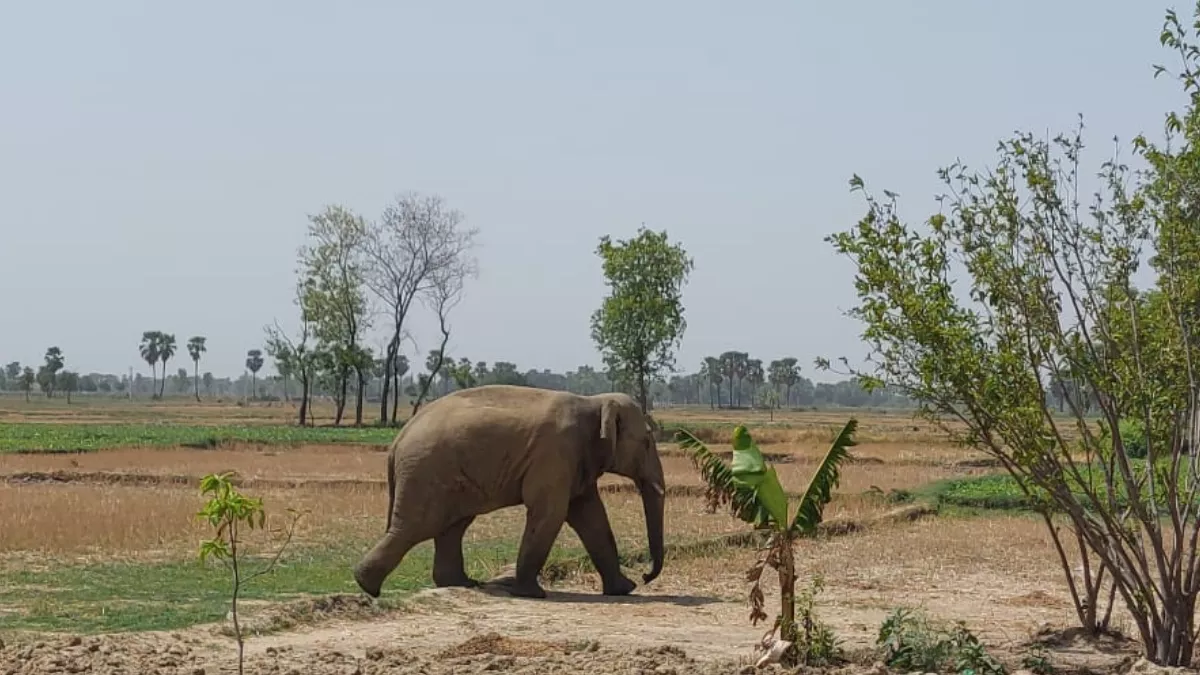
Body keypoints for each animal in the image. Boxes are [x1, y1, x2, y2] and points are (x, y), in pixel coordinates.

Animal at [350, 381, 667, 595]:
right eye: (647, 442)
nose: (645, 576)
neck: (594, 402)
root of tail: (397, 440)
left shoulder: (577, 462)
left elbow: (591, 518)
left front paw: (624, 589)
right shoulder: (555, 454)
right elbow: (550, 514)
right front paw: (532, 594)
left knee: (451, 526)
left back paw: (462, 583)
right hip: (426, 473)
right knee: (417, 527)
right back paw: (367, 587)